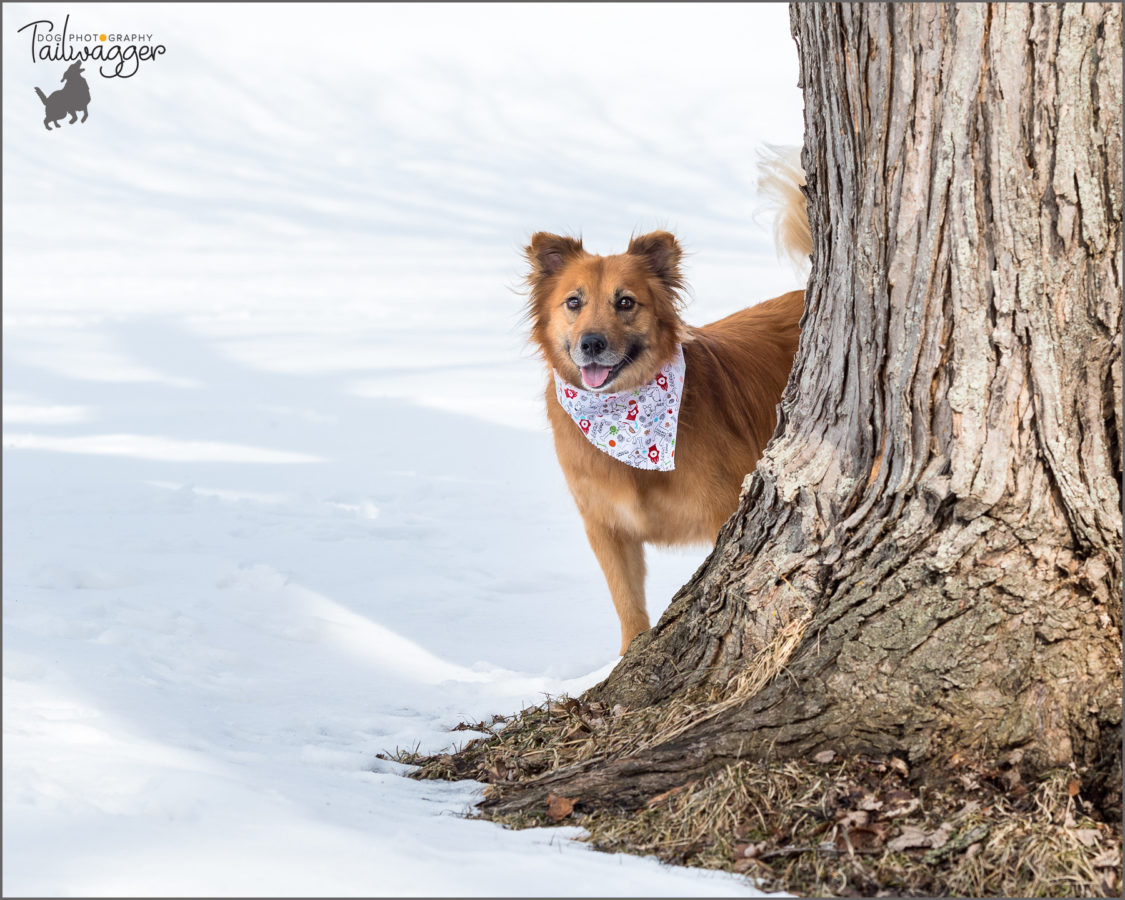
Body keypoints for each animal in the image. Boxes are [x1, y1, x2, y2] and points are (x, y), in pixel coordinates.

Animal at [524, 149, 810, 652]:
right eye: (574, 302)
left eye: (626, 302)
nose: (592, 344)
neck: (624, 418)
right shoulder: (607, 528)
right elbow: (627, 605)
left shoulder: (724, 513)